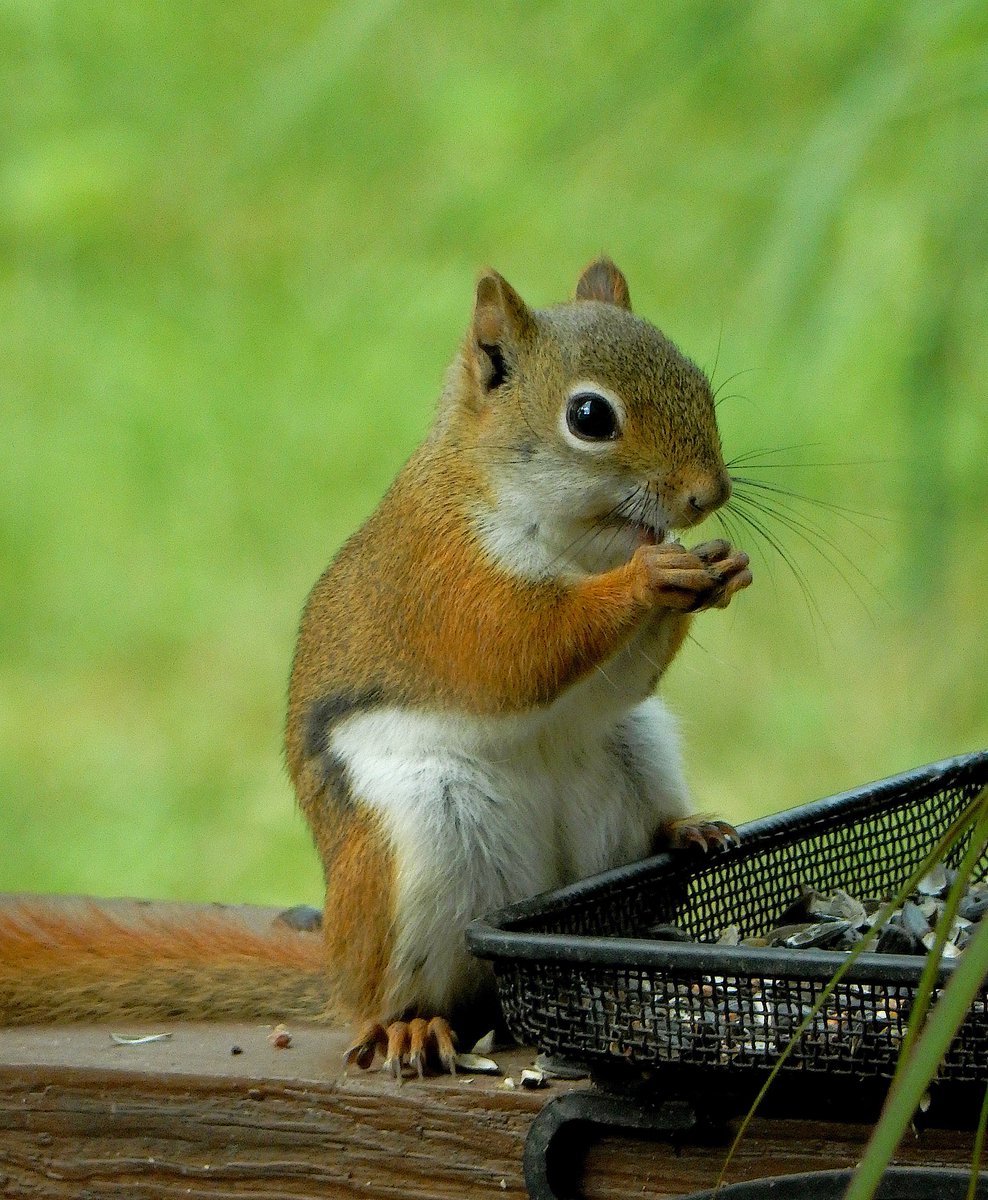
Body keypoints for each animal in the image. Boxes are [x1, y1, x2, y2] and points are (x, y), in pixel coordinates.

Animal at [0, 259, 750, 1075]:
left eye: (699, 381)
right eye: (589, 417)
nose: (708, 494)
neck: (580, 540)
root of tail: (339, 973)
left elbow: (622, 681)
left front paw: (720, 569)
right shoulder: (442, 584)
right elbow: (518, 652)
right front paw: (649, 579)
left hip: (631, 756)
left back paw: (684, 832)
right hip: (419, 842)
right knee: (389, 994)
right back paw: (407, 1026)